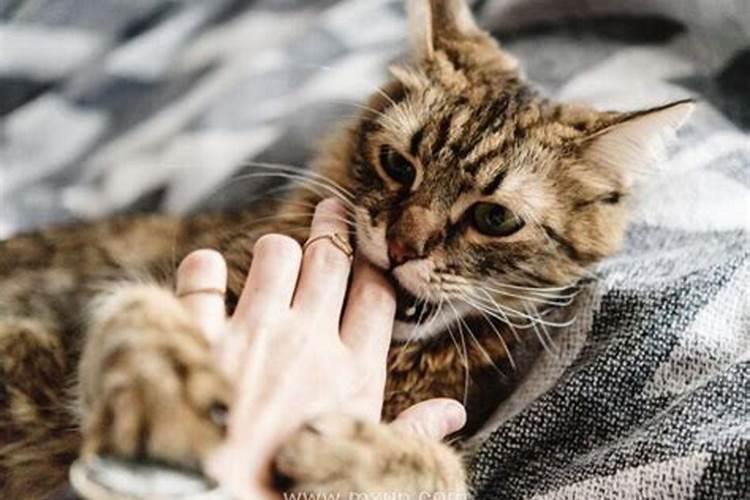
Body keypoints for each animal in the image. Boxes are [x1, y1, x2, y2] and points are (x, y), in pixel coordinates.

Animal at [0, 0, 692, 496]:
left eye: (494, 218)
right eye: (398, 165)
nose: (403, 245)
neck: (400, 357)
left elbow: (442, 475)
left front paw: (358, 457)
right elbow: (136, 311)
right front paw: (164, 391)